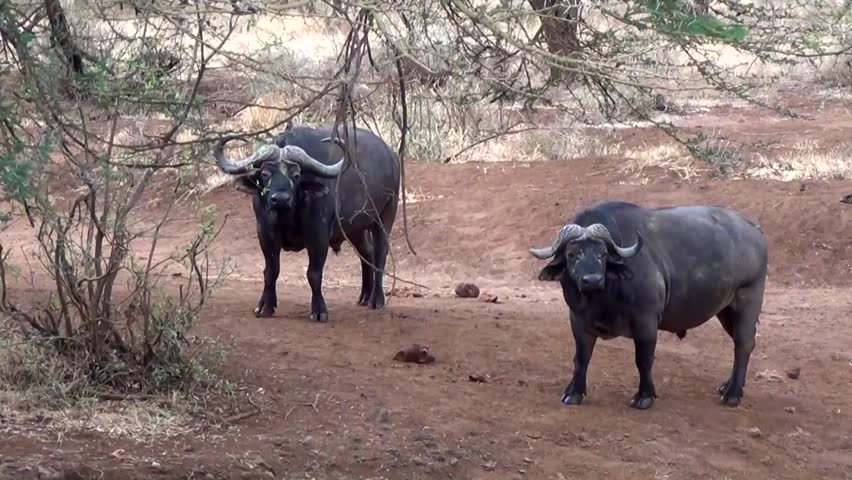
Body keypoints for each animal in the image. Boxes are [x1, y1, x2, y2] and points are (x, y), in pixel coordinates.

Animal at [214, 124, 400, 322]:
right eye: (265, 174)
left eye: (296, 175)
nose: (280, 199)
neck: (287, 216)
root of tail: (392, 157)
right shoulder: (264, 233)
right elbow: (270, 271)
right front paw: (265, 306)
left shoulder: (318, 236)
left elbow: (314, 274)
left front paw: (319, 310)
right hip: (354, 229)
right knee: (367, 251)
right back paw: (365, 295)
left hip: (385, 215)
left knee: (380, 253)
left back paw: (376, 299)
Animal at [530, 201, 768, 410]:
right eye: (572, 254)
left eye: (602, 254)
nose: (592, 280)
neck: (602, 296)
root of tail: (755, 230)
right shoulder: (578, 321)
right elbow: (581, 358)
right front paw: (574, 392)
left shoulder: (646, 321)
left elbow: (643, 360)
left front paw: (644, 396)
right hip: (725, 311)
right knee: (741, 342)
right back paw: (728, 386)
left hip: (747, 300)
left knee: (743, 344)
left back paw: (733, 394)